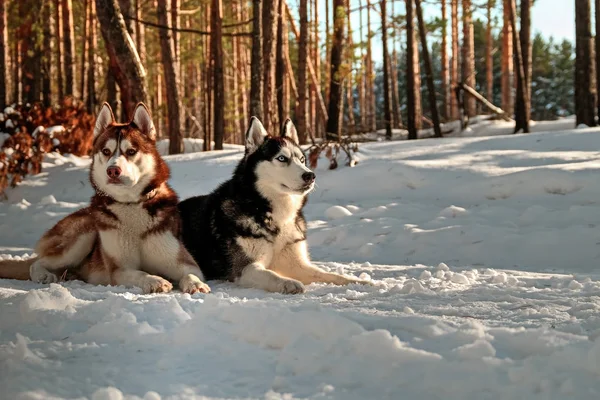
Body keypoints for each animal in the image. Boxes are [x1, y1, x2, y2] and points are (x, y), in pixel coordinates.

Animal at [0, 103, 211, 294]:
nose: (113, 170)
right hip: (84, 235)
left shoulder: (184, 263)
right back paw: (44, 274)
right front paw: (155, 281)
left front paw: (196, 285)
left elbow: (190, 274)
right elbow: (140, 273)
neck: (131, 205)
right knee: (38, 262)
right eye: (106, 151)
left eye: (131, 151)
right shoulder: (119, 269)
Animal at [176, 115, 368, 294]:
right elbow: (271, 275)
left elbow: (329, 274)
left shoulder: (297, 263)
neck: (273, 215)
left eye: (302, 159)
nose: (310, 176)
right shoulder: (246, 268)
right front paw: (288, 283)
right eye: (282, 158)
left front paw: (360, 282)